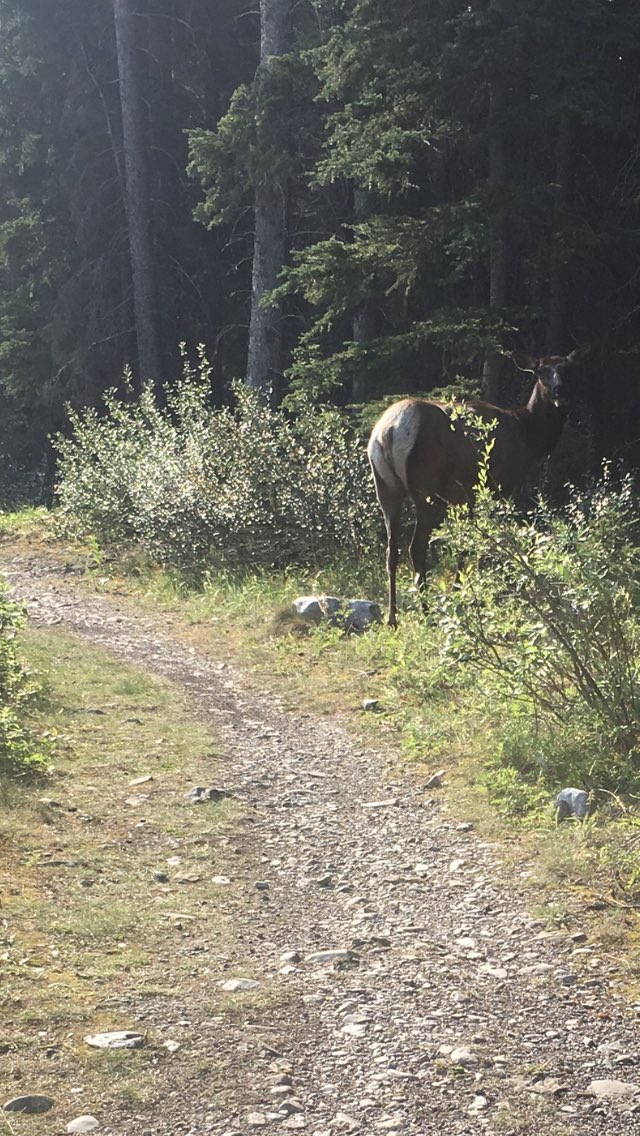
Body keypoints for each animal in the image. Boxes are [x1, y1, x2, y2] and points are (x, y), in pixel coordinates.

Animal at [368, 347, 586, 627]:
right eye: (541, 372)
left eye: (568, 370)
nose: (560, 392)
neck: (527, 438)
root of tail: (388, 432)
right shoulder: (498, 487)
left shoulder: (462, 498)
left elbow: (463, 543)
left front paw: (459, 591)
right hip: (427, 488)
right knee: (416, 548)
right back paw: (427, 613)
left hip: (385, 488)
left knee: (391, 551)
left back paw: (392, 617)